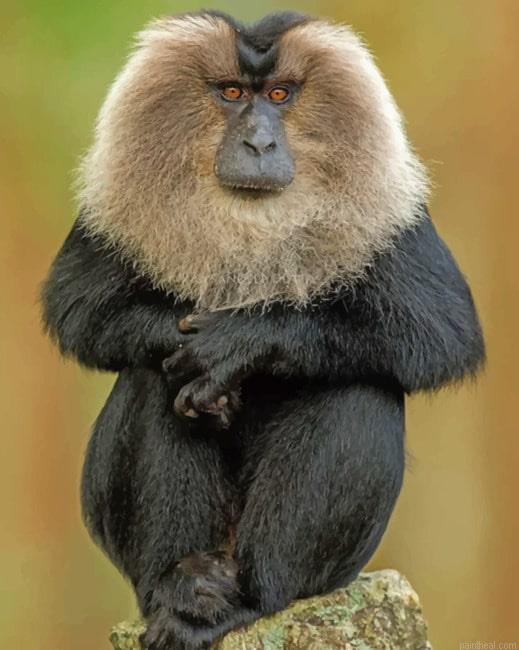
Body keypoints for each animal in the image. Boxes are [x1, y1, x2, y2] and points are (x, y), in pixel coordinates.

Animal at [41, 10, 485, 650]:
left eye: (279, 96)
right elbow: (77, 305)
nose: (258, 143)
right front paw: (202, 359)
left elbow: (441, 329)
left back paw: (244, 598)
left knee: (358, 386)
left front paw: (234, 345)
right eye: (231, 94)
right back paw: (183, 591)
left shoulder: (394, 207)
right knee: (150, 376)